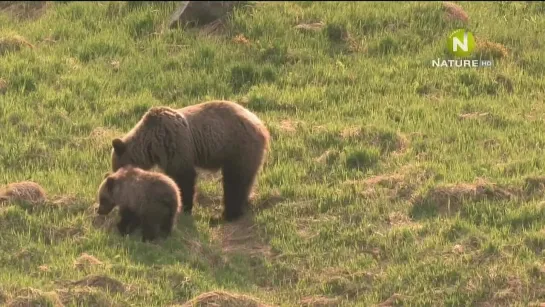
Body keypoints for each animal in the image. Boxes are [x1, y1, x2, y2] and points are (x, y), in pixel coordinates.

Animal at [110, 101, 270, 224]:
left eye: (116, 167)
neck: (152, 144)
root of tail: (262, 127)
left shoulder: (175, 144)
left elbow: (184, 177)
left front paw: (185, 207)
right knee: (246, 180)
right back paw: (244, 204)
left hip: (238, 147)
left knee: (234, 181)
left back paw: (229, 214)